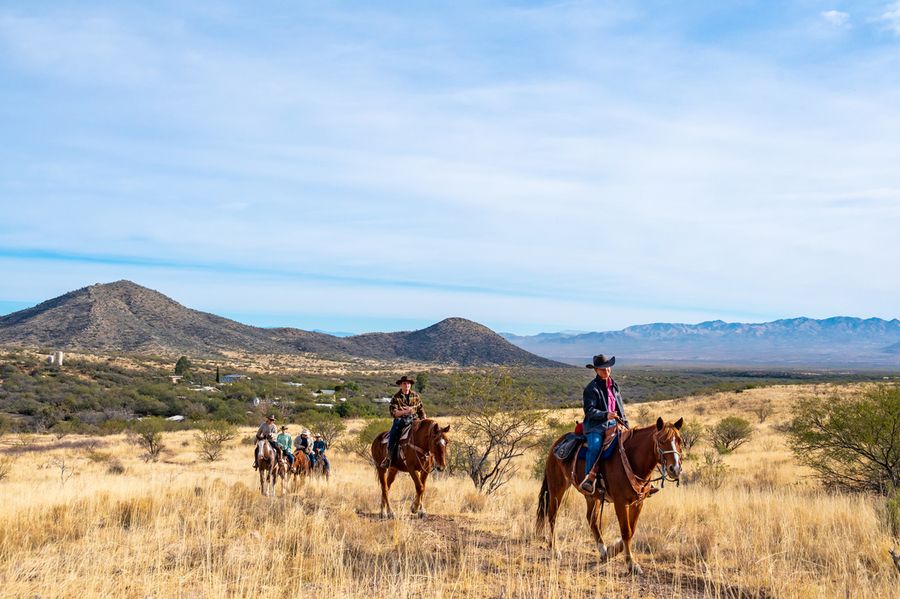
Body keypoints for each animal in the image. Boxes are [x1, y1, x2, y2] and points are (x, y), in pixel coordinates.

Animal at [536, 418, 684, 576]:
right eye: (661, 441)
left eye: (679, 441)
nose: (675, 469)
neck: (631, 459)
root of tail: (557, 443)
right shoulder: (620, 503)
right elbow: (626, 531)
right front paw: (632, 564)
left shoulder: (638, 503)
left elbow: (632, 530)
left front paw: (613, 551)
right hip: (557, 487)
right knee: (552, 516)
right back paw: (555, 550)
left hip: (592, 496)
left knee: (592, 519)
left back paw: (603, 550)